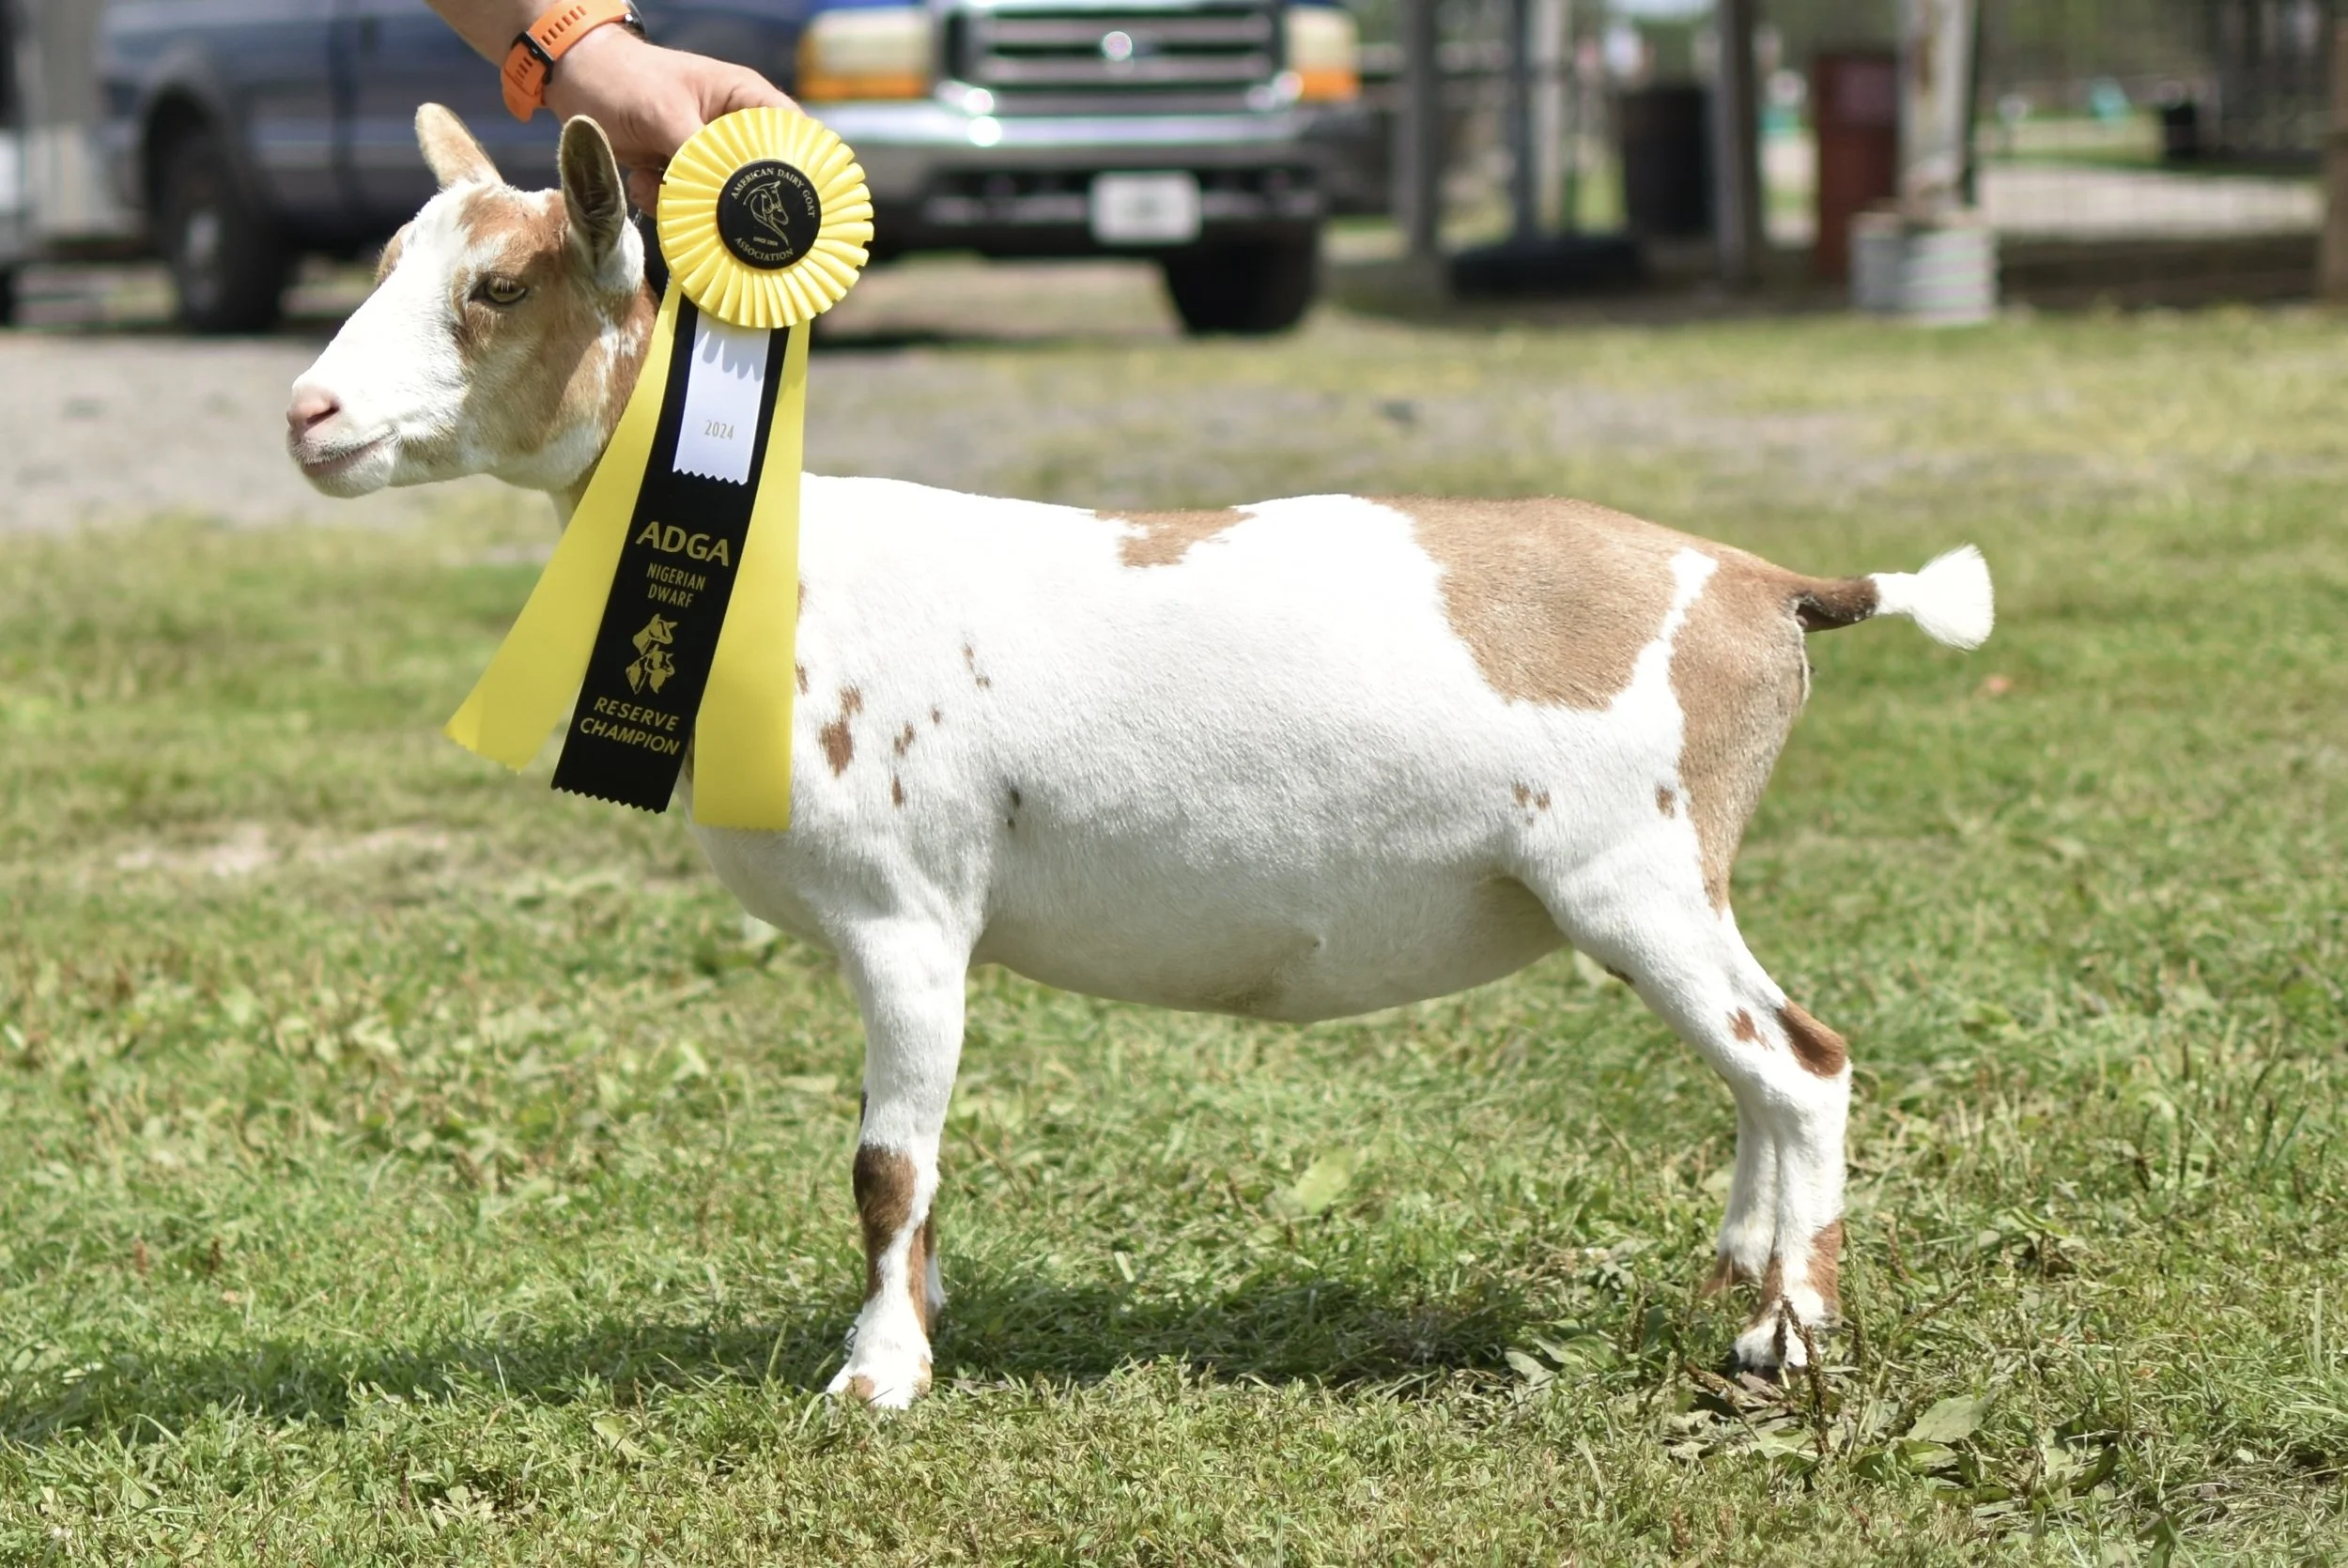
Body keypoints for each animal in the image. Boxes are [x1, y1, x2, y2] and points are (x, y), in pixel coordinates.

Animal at [285, 106, 1994, 1408]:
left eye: (501, 284)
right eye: (386, 265)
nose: (309, 414)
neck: (786, 563)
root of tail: (1765, 583)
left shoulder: (911, 915)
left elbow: (883, 1168)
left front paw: (879, 1376)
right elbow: (916, 1177)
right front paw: (915, 1320)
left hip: (1637, 868)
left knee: (1805, 1064)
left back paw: (1787, 1339)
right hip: (1669, 883)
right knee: (1766, 1077)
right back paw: (1747, 1274)